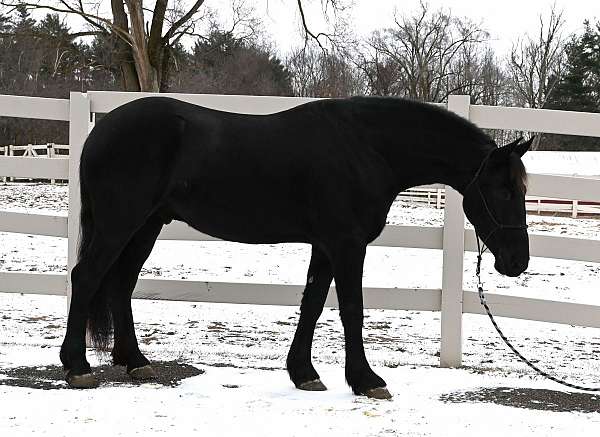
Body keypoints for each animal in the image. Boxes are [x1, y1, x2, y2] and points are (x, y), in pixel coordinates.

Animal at [59, 96, 528, 398]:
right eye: (504, 190)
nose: (517, 261)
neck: (366, 147)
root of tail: (100, 130)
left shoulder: (325, 245)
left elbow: (313, 304)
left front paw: (304, 373)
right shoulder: (347, 245)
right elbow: (351, 309)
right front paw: (367, 380)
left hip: (146, 226)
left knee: (120, 284)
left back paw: (135, 361)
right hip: (121, 224)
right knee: (87, 277)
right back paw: (77, 367)